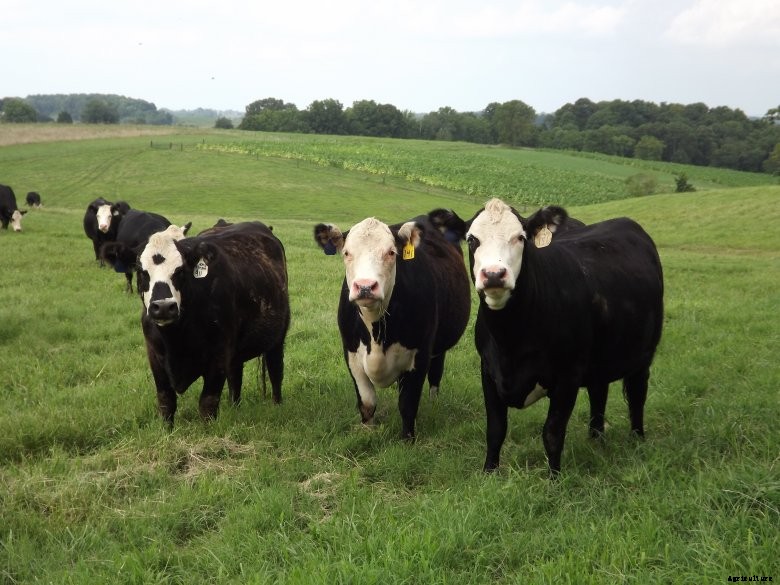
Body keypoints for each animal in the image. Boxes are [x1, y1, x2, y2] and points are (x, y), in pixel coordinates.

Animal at [137, 221, 290, 426]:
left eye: (180, 271)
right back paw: (234, 409)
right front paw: (166, 431)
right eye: (142, 272)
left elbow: (207, 404)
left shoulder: (218, 355)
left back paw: (277, 405)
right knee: (235, 378)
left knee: (275, 371)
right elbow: (166, 402)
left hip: (277, 336)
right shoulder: (154, 357)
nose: (163, 307)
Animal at [314, 214, 471, 440]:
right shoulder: (351, 355)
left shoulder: (420, 355)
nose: (365, 286)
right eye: (346, 253)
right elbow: (367, 402)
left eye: (391, 252)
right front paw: (367, 432)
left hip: (439, 346)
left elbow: (407, 404)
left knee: (436, 374)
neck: (376, 332)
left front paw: (407, 440)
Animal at [465, 198, 663, 476]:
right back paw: (596, 440)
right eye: (472, 239)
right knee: (599, 393)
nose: (494, 274)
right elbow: (495, 429)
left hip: (642, 355)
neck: (510, 341)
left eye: (520, 238)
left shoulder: (568, 376)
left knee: (637, 395)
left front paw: (554, 478)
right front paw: (489, 473)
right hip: (598, 360)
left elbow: (552, 433)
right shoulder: (488, 370)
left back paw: (637, 440)